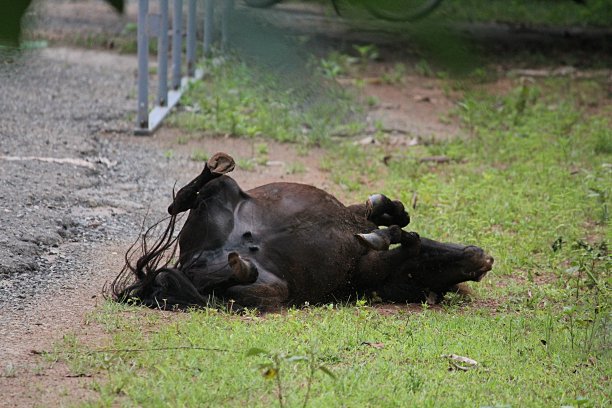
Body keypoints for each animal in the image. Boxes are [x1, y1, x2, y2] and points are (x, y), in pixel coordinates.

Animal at [110, 152, 492, 310]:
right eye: (425, 262)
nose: (483, 258)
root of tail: (195, 262)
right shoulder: (360, 228)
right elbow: (388, 213)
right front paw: (390, 230)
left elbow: (386, 217)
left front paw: (386, 232)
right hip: (225, 199)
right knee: (180, 202)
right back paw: (218, 166)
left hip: (270, 289)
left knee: (225, 284)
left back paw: (240, 263)